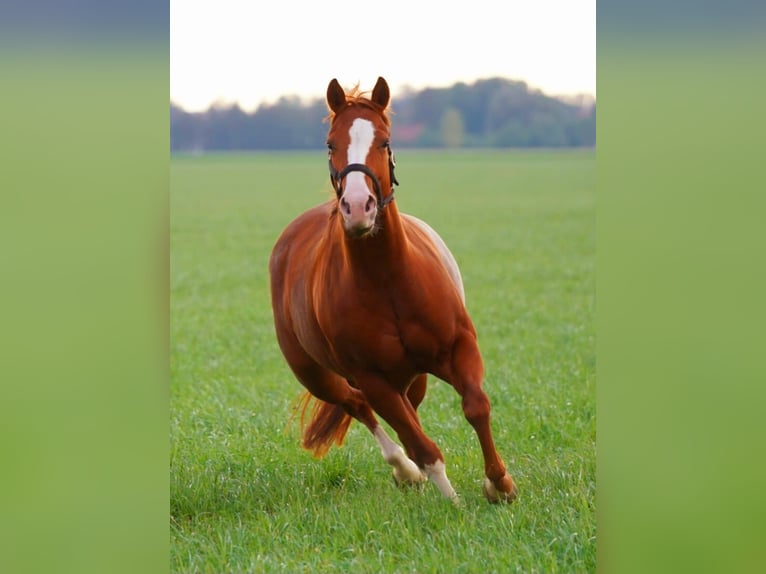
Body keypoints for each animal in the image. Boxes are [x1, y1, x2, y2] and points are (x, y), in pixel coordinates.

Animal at [268, 77, 516, 504]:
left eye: (384, 141)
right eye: (331, 144)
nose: (357, 207)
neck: (388, 280)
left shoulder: (459, 348)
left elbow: (476, 406)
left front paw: (499, 485)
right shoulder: (371, 377)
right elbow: (423, 446)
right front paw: (452, 502)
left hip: (412, 377)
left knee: (406, 410)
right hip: (315, 374)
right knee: (360, 407)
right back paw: (404, 470)